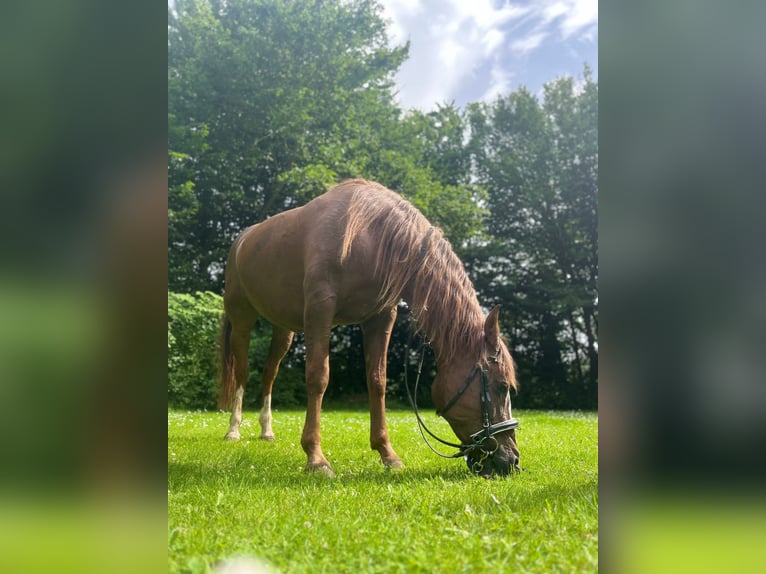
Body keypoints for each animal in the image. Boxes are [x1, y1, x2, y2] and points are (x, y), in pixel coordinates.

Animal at [219, 179, 524, 476]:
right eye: (501, 387)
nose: (512, 460)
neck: (369, 236)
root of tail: (243, 240)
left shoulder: (380, 318)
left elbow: (377, 381)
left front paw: (387, 453)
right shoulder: (319, 310)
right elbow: (318, 377)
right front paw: (316, 458)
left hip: (283, 330)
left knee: (269, 373)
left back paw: (266, 431)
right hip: (242, 320)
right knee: (242, 371)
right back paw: (233, 429)